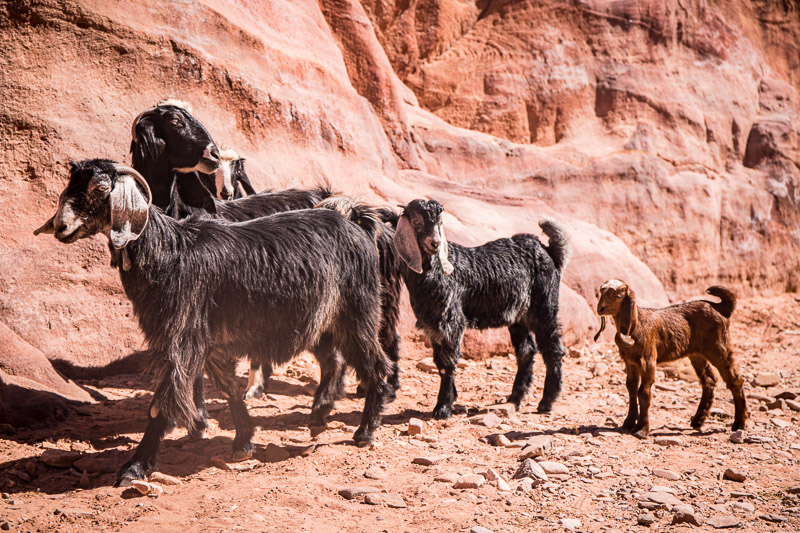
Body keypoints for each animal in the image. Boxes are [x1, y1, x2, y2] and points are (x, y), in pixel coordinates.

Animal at [34, 160, 390, 484]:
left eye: (100, 189)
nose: (61, 227)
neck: (169, 253)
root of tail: (353, 220)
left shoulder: (183, 336)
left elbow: (165, 401)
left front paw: (135, 468)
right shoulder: (210, 341)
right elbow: (229, 387)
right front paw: (243, 441)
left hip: (357, 312)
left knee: (376, 365)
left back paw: (365, 431)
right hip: (325, 321)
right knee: (335, 360)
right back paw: (320, 416)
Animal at [392, 197, 568, 418]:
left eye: (440, 223)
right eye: (416, 222)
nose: (435, 243)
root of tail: (548, 250)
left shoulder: (451, 321)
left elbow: (447, 363)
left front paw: (443, 408)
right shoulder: (433, 324)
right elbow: (440, 362)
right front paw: (451, 398)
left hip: (544, 305)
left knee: (553, 349)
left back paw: (546, 402)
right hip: (519, 315)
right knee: (526, 350)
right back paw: (515, 398)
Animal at [592, 278, 748, 436]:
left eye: (618, 295)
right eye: (601, 292)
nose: (600, 309)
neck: (637, 325)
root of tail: (721, 308)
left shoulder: (648, 359)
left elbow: (643, 392)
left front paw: (642, 429)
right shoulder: (630, 361)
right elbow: (631, 388)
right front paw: (628, 423)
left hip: (718, 348)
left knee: (735, 380)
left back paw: (739, 424)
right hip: (697, 354)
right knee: (709, 379)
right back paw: (698, 420)